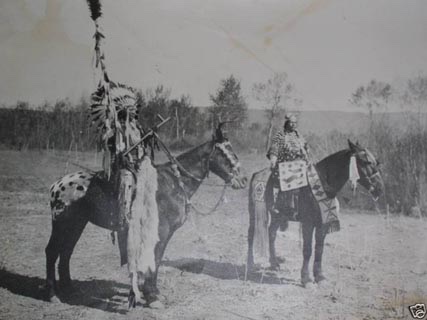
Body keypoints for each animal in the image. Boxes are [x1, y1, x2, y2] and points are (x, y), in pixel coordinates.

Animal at [44, 124, 247, 304]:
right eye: (226, 152)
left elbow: (156, 259)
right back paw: (52, 294)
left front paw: (150, 292)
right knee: (52, 252)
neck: (174, 182)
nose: (243, 179)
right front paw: (152, 296)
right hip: (62, 224)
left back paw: (69, 290)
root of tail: (57, 185)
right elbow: (155, 259)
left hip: (77, 224)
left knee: (66, 252)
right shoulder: (161, 232)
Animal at [247, 140, 384, 288]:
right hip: (254, 212)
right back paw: (250, 264)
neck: (322, 183)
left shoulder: (322, 224)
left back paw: (274, 263)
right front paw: (305, 278)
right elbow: (307, 250)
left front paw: (319, 276)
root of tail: (257, 173)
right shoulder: (308, 223)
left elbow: (319, 249)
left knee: (271, 233)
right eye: (366, 162)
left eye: (376, 162)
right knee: (251, 235)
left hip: (277, 215)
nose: (380, 188)